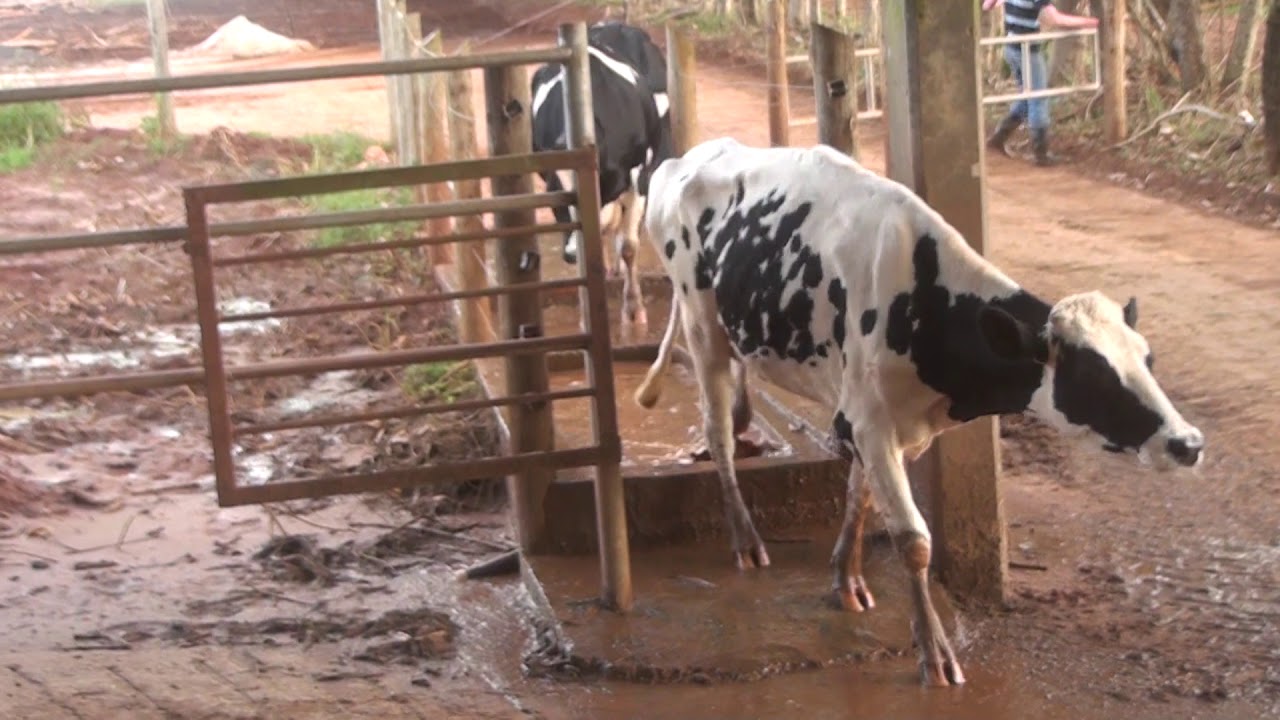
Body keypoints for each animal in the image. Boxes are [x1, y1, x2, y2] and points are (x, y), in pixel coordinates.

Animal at [634, 137, 1205, 688]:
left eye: (1148, 358)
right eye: (1091, 375)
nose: (1189, 442)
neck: (924, 299)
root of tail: (685, 159)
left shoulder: (882, 423)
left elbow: (860, 496)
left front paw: (846, 579)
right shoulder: (871, 421)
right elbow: (914, 541)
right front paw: (935, 655)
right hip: (700, 322)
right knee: (716, 431)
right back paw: (746, 539)